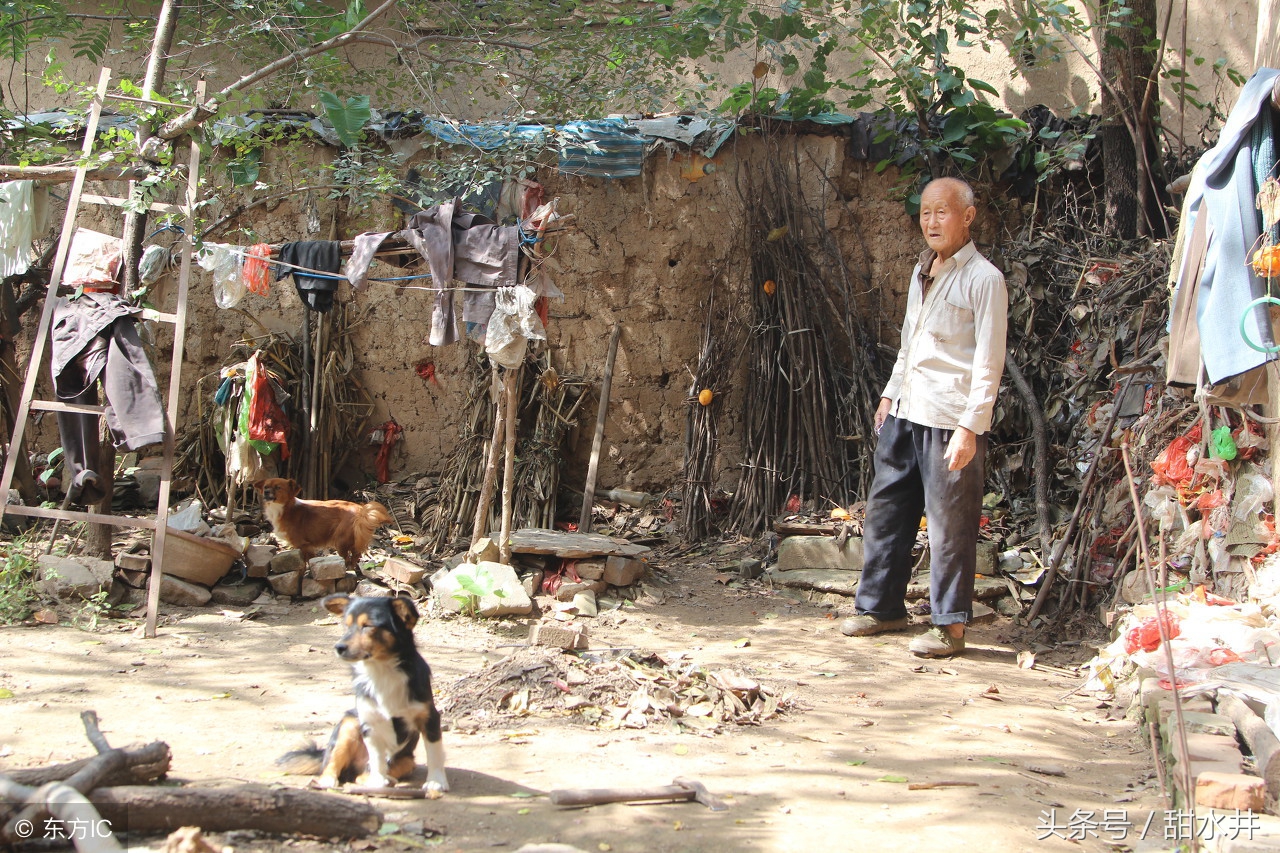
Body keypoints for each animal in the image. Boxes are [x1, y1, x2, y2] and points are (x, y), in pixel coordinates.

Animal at [249, 473, 389, 568]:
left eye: (278, 487)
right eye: (266, 487)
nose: (266, 492)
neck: (283, 509)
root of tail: (360, 510)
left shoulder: (303, 545)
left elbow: (307, 561)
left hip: (340, 541)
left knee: (349, 557)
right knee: (356, 553)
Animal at [309, 591, 450, 788]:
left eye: (368, 626)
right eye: (346, 626)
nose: (338, 647)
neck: (382, 670)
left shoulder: (429, 717)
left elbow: (434, 752)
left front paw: (436, 781)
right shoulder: (369, 722)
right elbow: (377, 757)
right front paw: (377, 779)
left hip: (407, 761)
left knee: (362, 775)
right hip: (349, 724)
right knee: (333, 763)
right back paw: (328, 780)